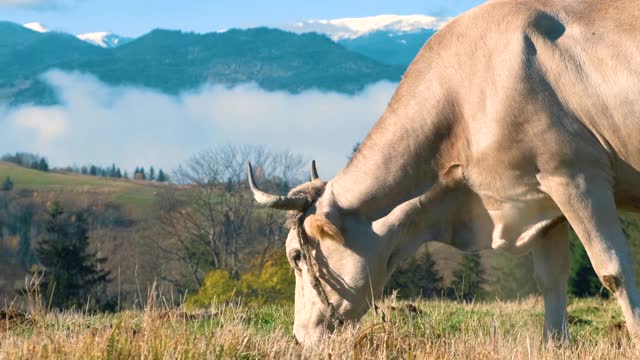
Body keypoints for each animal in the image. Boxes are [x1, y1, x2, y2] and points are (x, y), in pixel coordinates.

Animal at [248, 0, 640, 346]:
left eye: (296, 256)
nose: (300, 337)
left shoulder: (575, 176)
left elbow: (614, 271)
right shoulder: (538, 197)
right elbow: (550, 281)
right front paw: (555, 345)